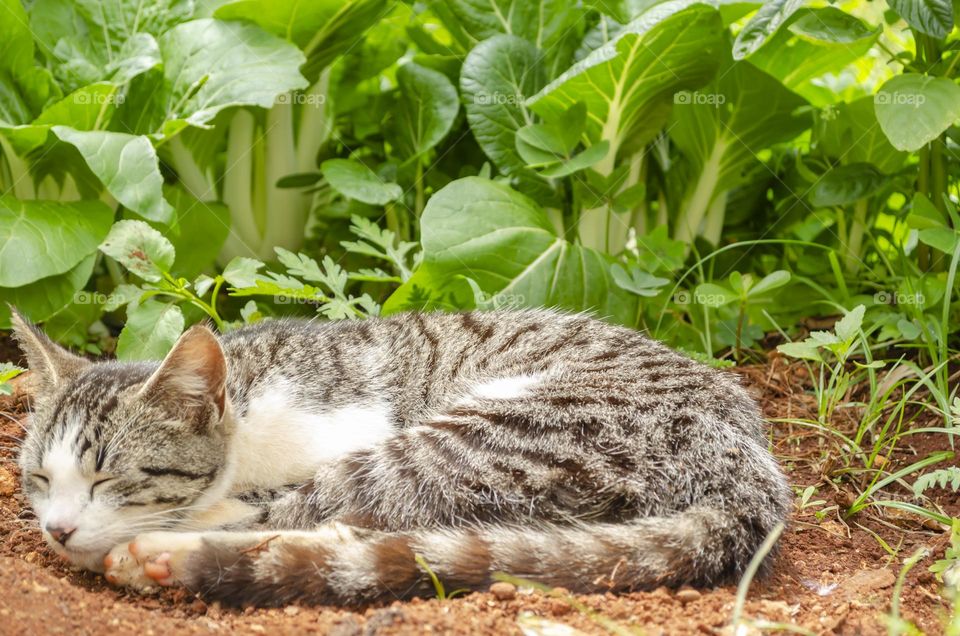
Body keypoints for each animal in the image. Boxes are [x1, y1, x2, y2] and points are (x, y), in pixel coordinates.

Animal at [11, 308, 792, 608]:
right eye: (39, 479)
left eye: (111, 478)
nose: (57, 530)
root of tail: (755, 466)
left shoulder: (350, 426)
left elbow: (294, 502)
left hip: (490, 428)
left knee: (349, 517)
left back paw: (166, 555)